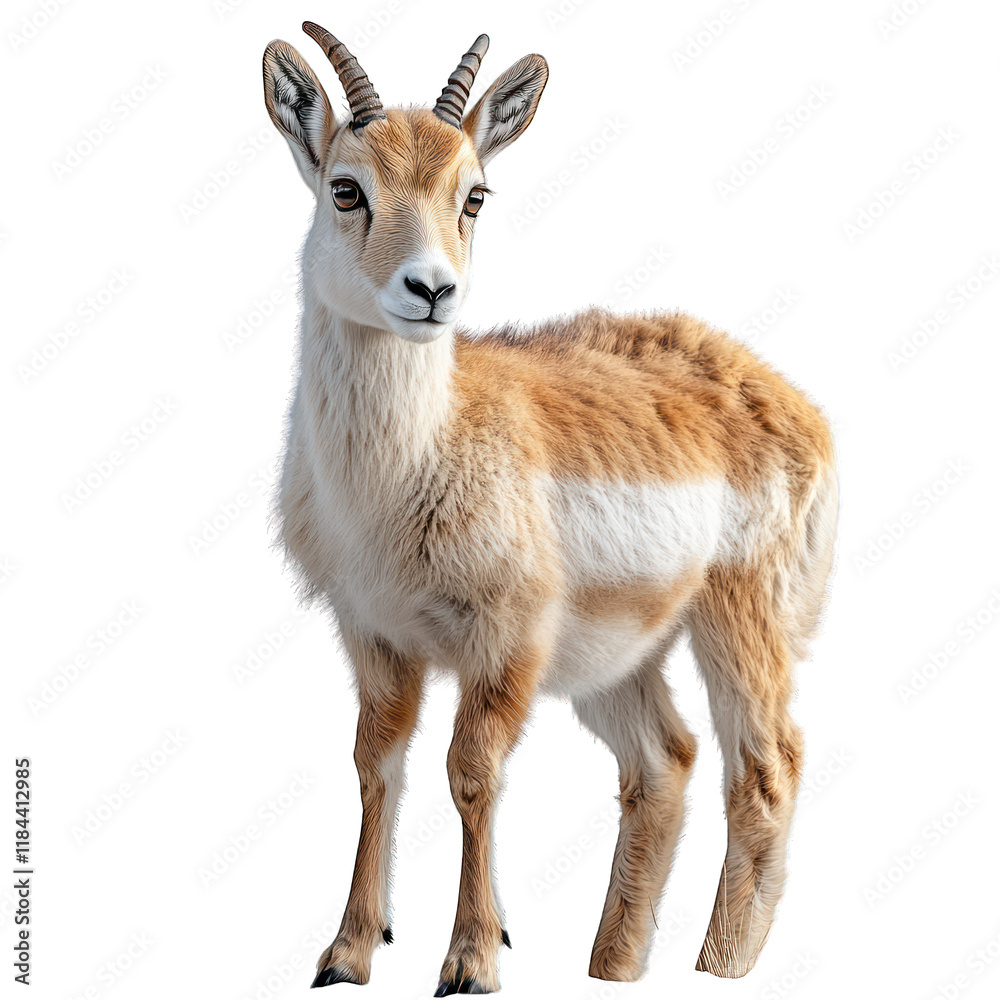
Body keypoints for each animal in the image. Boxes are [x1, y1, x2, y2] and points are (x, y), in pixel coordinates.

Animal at [262, 21, 838, 995]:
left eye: (474, 195)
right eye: (347, 188)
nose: (431, 291)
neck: (412, 462)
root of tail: (790, 400)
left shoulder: (506, 639)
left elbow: (471, 773)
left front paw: (470, 959)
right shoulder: (374, 634)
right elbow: (376, 767)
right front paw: (347, 952)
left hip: (737, 621)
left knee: (766, 769)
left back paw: (715, 968)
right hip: (618, 655)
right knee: (666, 763)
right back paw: (611, 966)